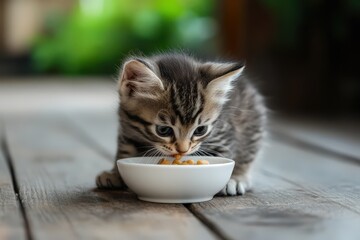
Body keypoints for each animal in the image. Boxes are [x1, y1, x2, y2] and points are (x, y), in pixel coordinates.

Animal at [95, 52, 264, 195]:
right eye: (163, 130)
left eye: (200, 130)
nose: (183, 150)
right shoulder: (127, 127)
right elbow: (125, 150)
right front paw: (115, 174)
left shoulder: (222, 132)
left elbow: (223, 153)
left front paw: (227, 178)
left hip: (254, 124)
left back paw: (237, 178)